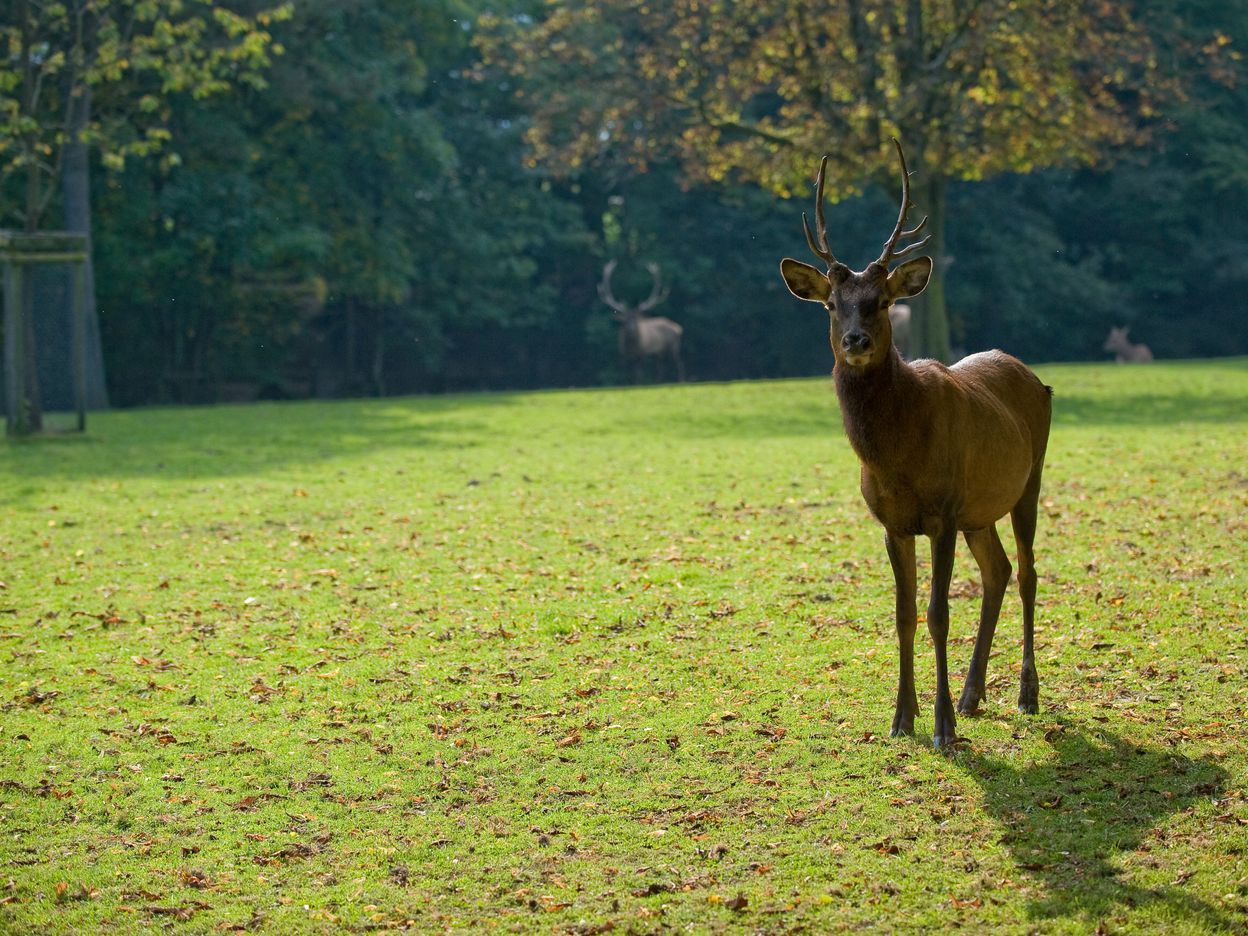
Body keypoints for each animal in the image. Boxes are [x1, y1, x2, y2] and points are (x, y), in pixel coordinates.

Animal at [778, 139, 1053, 753]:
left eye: (881, 300)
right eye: (831, 304)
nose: (855, 340)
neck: (896, 460)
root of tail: (1035, 377)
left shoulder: (942, 512)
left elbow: (937, 613)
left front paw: (942, 728)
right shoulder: (892, 521)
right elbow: (904, 613)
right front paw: (902, 717)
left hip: (1029, 482)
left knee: (1027, 572)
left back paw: (1026, 695)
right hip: (980, 509)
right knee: (998, 570)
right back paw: (975, 695)